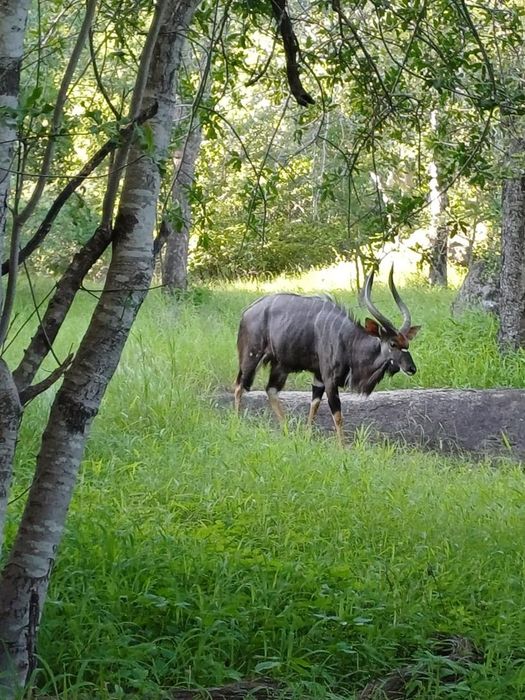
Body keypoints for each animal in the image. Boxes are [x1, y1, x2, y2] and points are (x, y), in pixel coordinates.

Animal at [234, 265, 420, 443]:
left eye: (407, 344)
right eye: (393, 344)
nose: (412, 368)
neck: (348, 341)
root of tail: (246, 312)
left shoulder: (318, 377)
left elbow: (315, 404)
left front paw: (307, 437)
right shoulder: (330, 379)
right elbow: (337, 414)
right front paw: (343, 448)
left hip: (280, 366)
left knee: (270, 390)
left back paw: (287, 431)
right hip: (251, 357)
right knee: (239, 386)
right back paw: (237, 423)